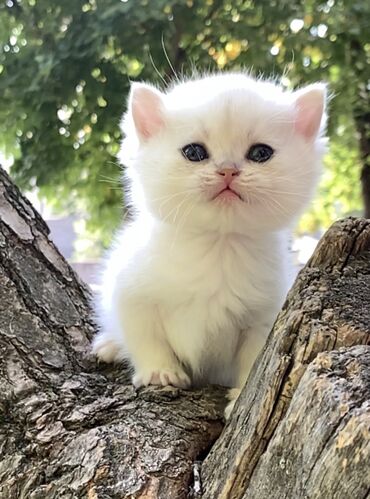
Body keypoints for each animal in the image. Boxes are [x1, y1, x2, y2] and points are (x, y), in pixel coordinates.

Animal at [93, 73, 326, 418]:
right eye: (194, 152)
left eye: (260, 153)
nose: (228, 170)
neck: (218, 245)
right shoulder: (131, 292)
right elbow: (145, 336)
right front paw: (160, 372)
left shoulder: (264, 319)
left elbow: (254, 362)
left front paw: (241, 397)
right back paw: (109, 345)